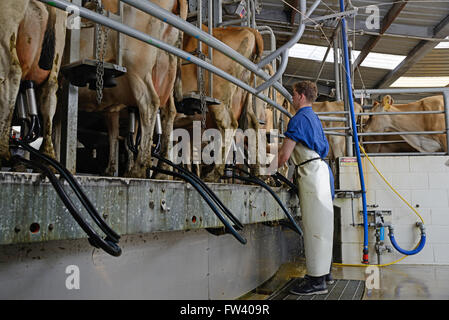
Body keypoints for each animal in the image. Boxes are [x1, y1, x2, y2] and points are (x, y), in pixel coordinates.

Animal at [0, 0, 66, 165]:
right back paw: (48, 156)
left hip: (5, 27)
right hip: (58, 44)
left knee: (13, 72)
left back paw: (3, 151)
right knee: (50, 90)